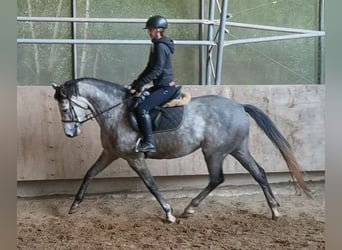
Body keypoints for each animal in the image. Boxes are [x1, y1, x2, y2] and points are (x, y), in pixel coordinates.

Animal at [52, 77, 312, 223]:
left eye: (65, 108)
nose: (70, 133)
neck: (115, 112)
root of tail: (239, 106)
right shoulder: (111, 153)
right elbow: (90, 173)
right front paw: (74, 206)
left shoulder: (134, 158)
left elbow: (151, 184)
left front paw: (169, 213)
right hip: (238, 149)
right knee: (259, 173)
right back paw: (275, 211)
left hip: (214, 152)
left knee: (217, 178)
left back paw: (189, 209)